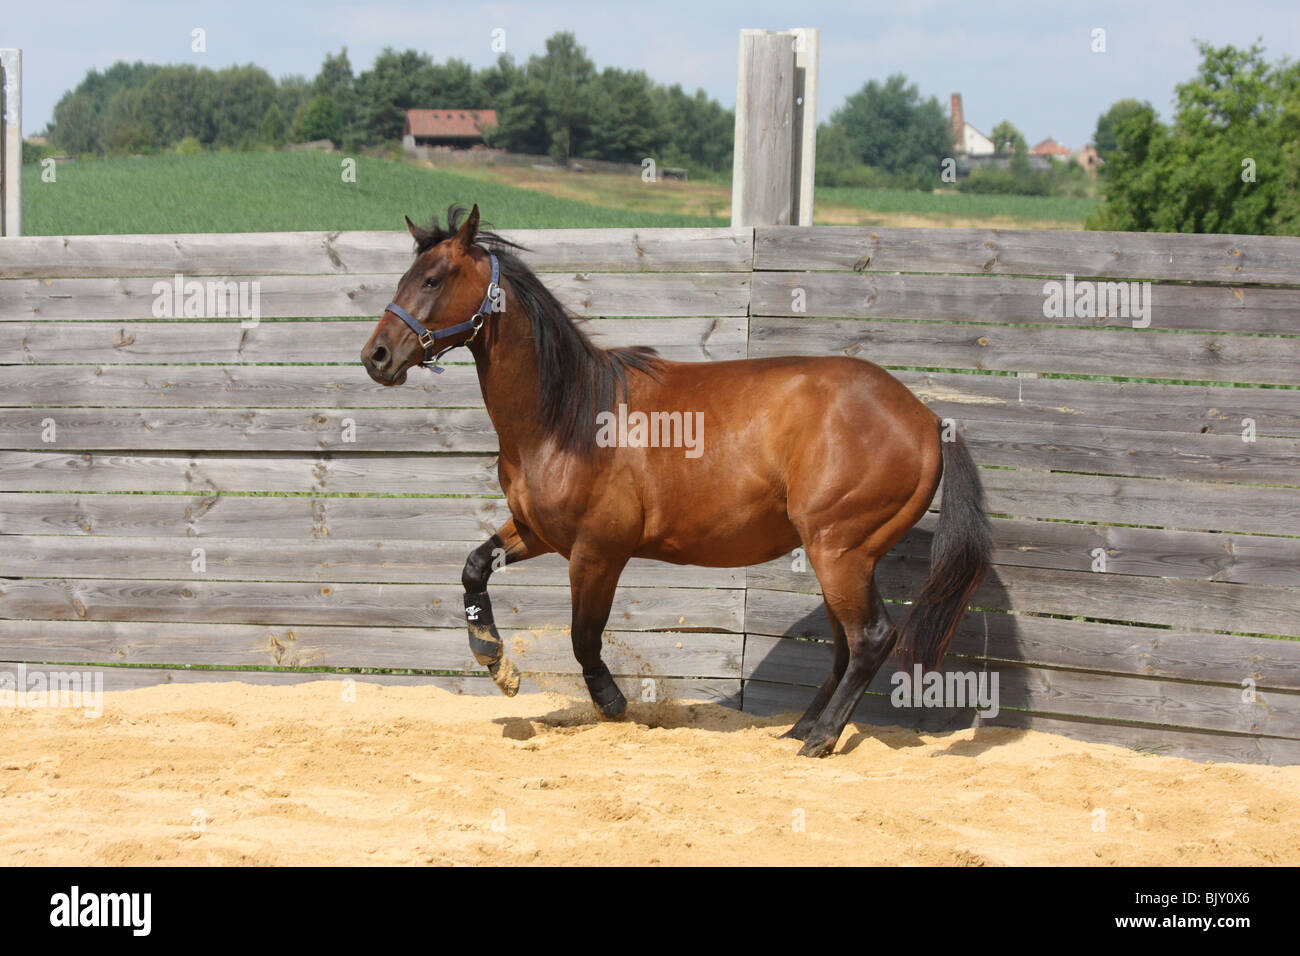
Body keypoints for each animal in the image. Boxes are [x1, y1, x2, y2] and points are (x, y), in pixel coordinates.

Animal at [361, 204, 992, 757]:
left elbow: (584, 636)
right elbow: (473, 568)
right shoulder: (537, 532)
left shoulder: (599, 550)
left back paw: (819, 739)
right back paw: (800, 729)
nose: (377, 356)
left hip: (840, 549)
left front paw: (614, 704)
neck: (567, 416)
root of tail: (927, 419)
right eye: (406, 275)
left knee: (870, 639)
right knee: (846, 644)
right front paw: (495, 662)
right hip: (840, 555)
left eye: (434, 278)